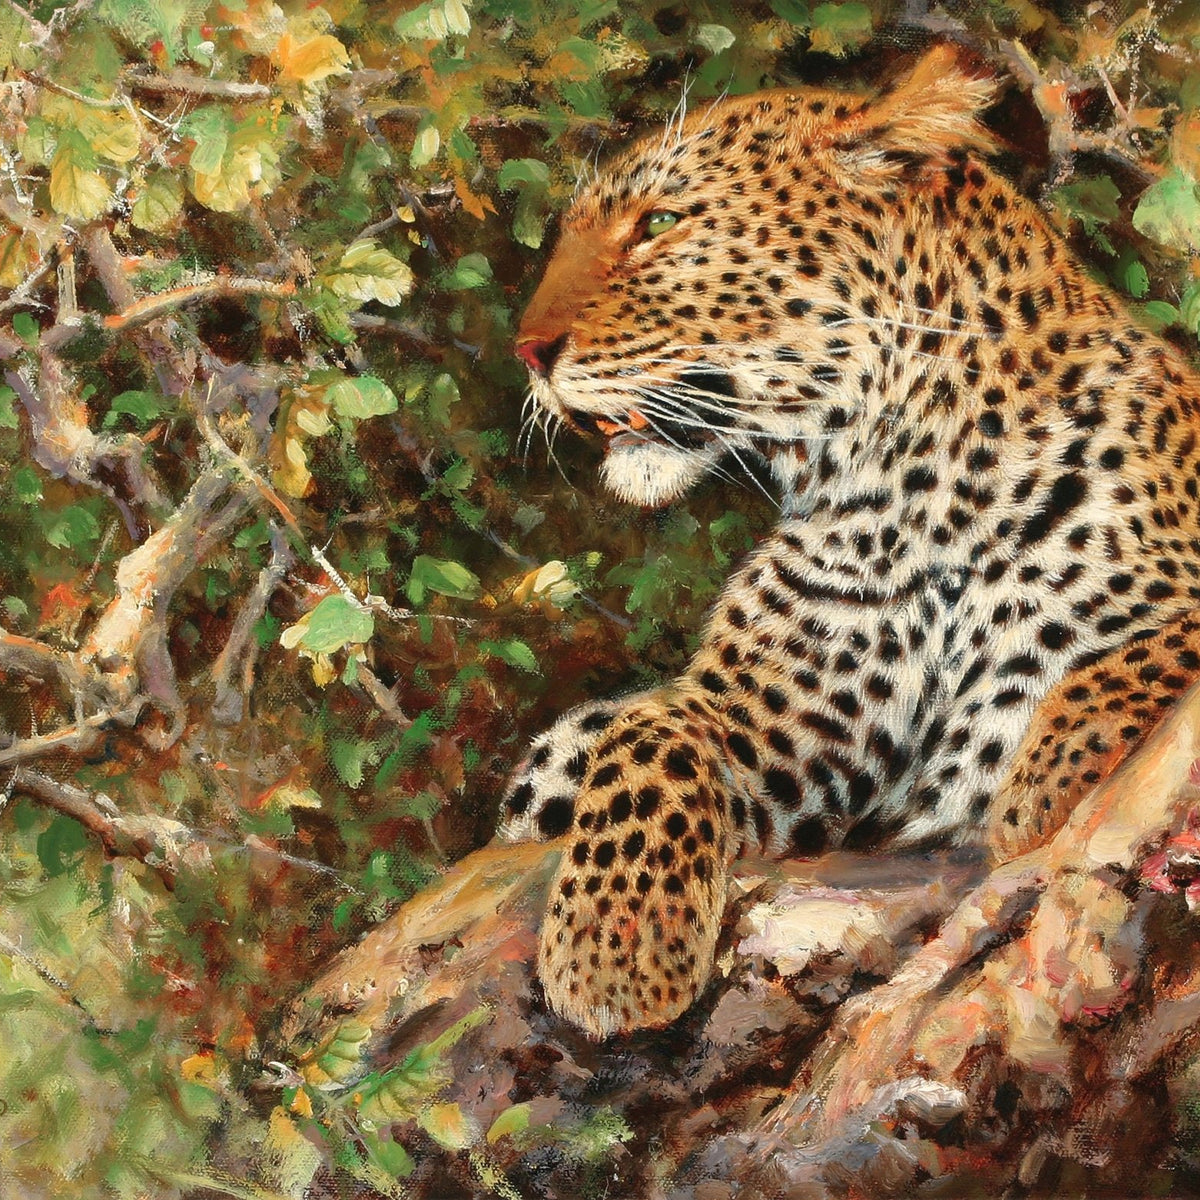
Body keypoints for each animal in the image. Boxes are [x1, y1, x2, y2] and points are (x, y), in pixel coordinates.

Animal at [499, 44, 1200, 1039]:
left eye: (660, 223)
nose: (527, 351)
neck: (912, 497)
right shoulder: (793, 728)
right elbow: (652, 727)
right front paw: (615, 950)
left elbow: (1151, 651)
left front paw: (1049, 773)